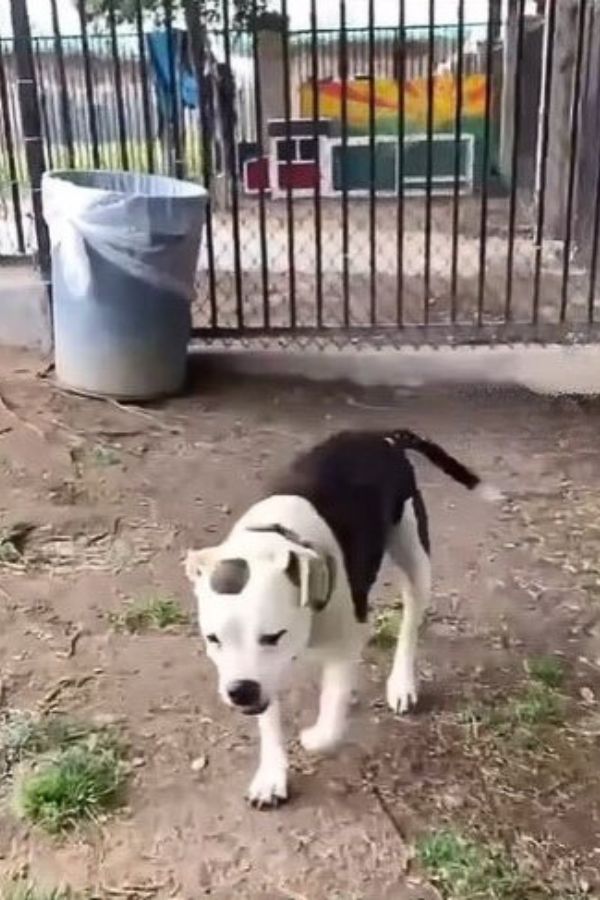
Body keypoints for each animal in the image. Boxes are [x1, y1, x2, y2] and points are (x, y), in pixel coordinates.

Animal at [185, 428, 500, 808]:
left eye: (273, 636)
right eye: (213, 639)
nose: (240, 692)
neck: (278, 540)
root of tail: (381, 436)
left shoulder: (339, 647)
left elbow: (330, 722)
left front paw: (313, 736)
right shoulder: (264, 676)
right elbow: (270, 720)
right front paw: (272, 776)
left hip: (415, 558)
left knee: (410, 622)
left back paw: (402, 684)